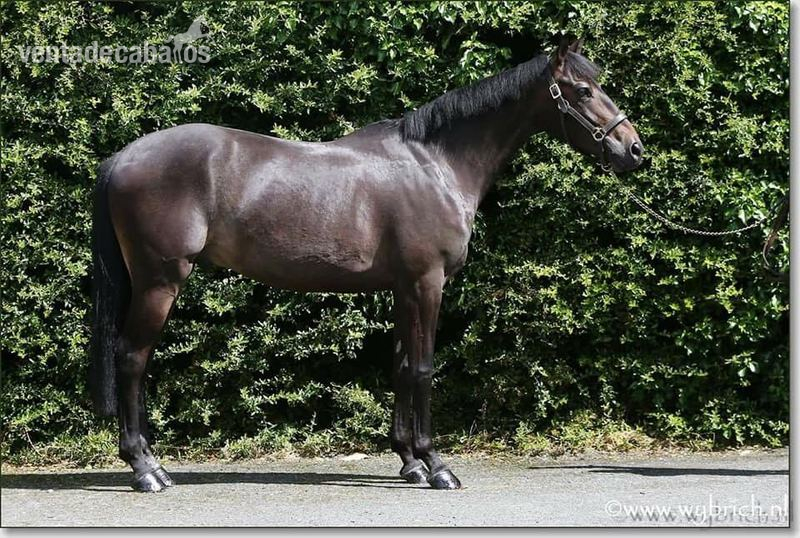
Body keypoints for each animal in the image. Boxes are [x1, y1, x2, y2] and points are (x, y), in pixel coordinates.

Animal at [90, 38, 644, 492]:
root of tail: (121, 158)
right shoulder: (427, 283)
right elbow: (423, 367)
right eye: (582, 89)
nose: (633, 149)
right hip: (160, 281)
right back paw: (147, 469)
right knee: (132, 358)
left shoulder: (403, 288)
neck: (435, 165)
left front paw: (409, 462)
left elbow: (399, 367)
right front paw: (437, 466)